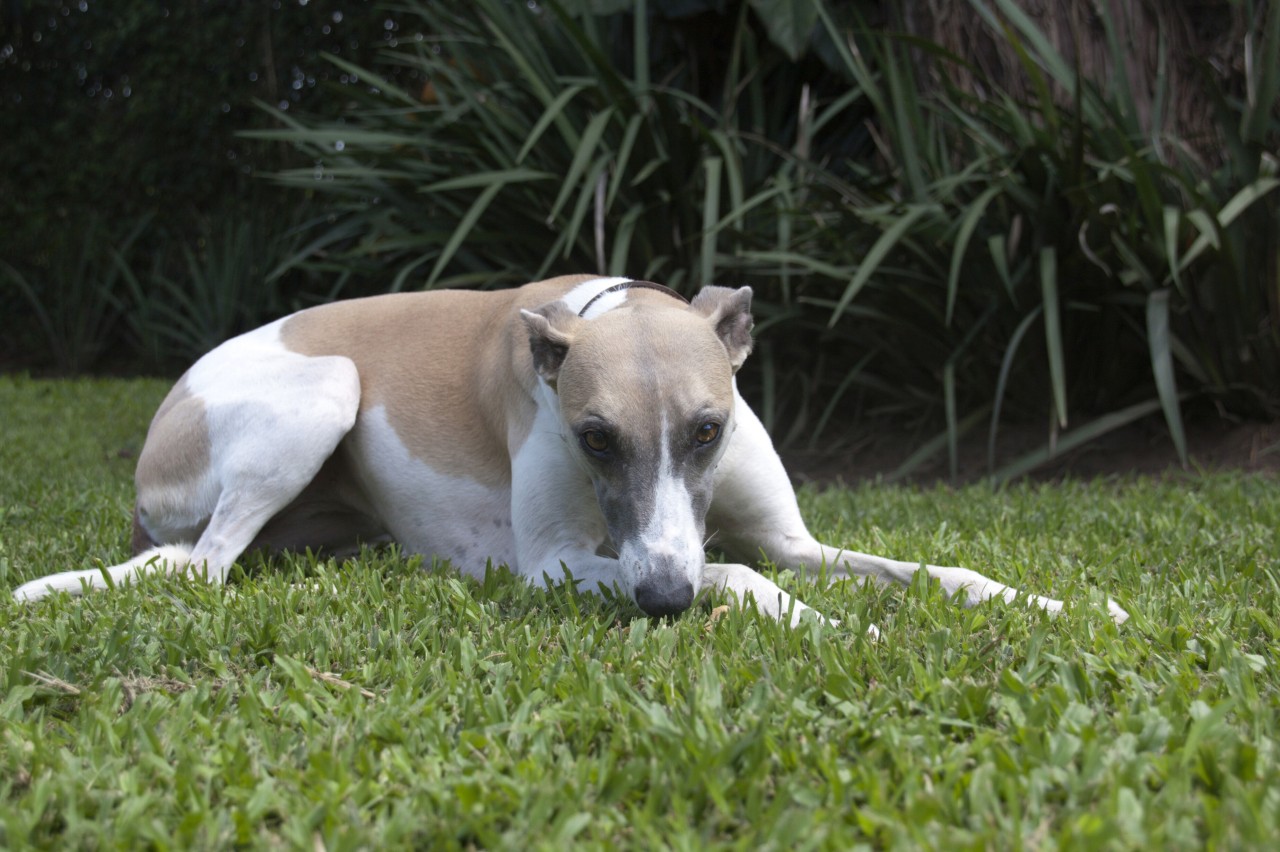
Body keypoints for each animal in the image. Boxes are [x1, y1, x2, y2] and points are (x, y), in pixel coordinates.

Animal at [12, 275, 1131, 626]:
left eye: (710, 429)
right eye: (594, 437)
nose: (662, 602)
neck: (612, 310)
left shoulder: (795, 539)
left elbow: (939, 569)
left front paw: (1057, 603)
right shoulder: (555, 560)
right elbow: (737, 570)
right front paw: (821, 623)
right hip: (325, 388)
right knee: (199, 567)